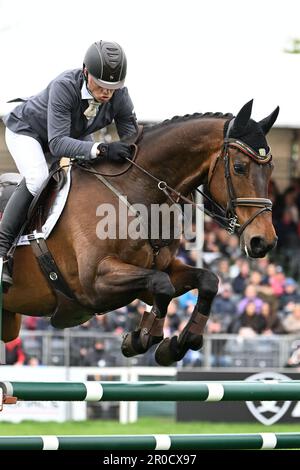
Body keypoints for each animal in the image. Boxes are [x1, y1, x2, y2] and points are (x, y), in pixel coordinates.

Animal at [1, 98, 278, 364]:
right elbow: (162, 285)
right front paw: (142, 338)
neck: (136, 190)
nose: (263, 241)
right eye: (239, 167)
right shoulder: (94, 283)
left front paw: (177, 344)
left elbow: (206, 281)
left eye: (270, 169)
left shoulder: (156, 272)